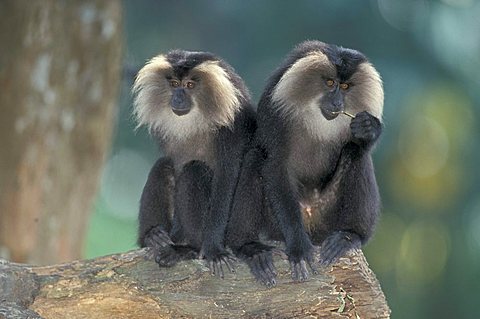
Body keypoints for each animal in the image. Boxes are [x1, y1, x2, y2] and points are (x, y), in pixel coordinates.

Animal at [133, 49, 274, 280]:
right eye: (174, 83)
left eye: (190, 85)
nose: (178, 97)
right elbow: (175, 165)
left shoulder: (232, 125)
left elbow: (227, 178)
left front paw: (213, 251)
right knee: (163, 166)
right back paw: (153, 236)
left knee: (195, 169)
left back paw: (191, 247)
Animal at [231, 40, 384, 284]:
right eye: (330, 83)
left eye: (345, 87)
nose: (337, 102)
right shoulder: (276, 106)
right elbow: (275, 165)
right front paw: (299, 249)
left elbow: (362, 144)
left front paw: (369, 128)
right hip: (275, 224)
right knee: (255, 158)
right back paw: (250, 248)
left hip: (327, 218)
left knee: (356, 152)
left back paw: (349, 236)